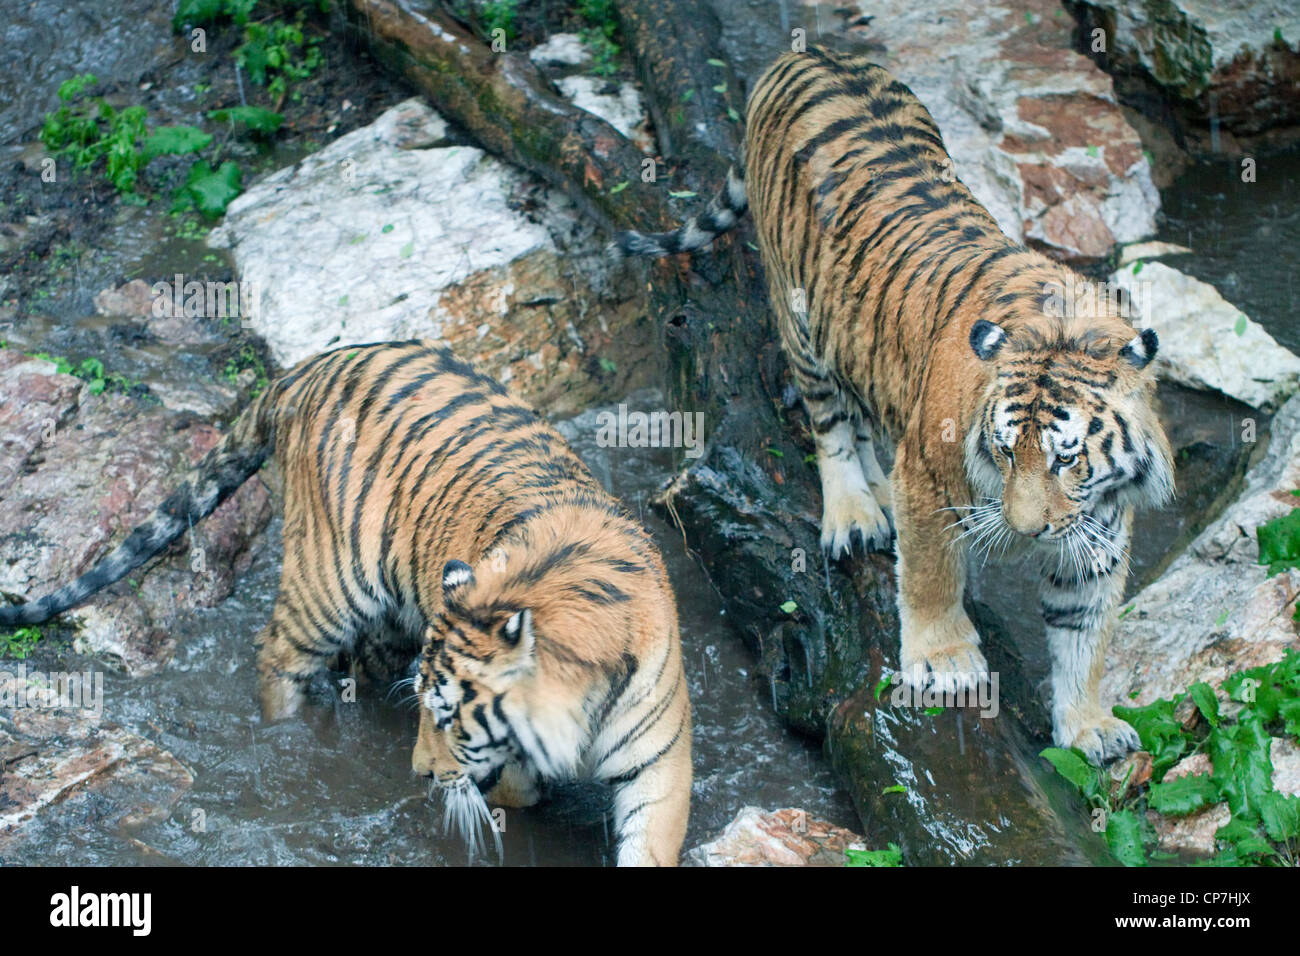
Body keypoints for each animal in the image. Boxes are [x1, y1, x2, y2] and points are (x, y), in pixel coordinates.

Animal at [0, 340, 691, 863]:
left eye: (451, 717)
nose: (420, 773)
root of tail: (311, 364)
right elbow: (511, 784)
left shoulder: (660, 765)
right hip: (330, 585)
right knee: (277, 655)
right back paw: (288, 730)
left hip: (391, 618)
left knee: (353, 661)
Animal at [613, 46, 1175, 770]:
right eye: (1003, 452)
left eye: (1068, 458)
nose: (1025, 533)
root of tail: (803, 53)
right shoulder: (933, 477)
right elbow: (932, 575)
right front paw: (946, 662)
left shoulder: (1097, 524)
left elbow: (1086, 631)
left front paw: (1088, 726)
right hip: (802, 318)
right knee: (830, 424)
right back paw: (854, 513)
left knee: (864, 420)